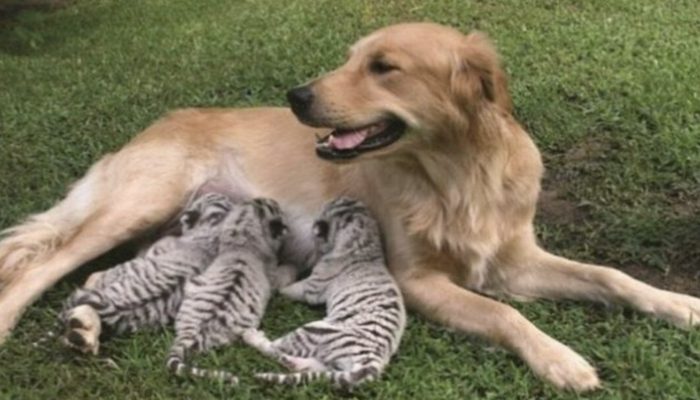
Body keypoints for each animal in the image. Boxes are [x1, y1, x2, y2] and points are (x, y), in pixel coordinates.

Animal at [165, 197, 295, 384]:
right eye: (275, 207)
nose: (273, 199)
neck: (242, 238)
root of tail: (189, 333)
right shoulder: (273, 275)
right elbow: (286, 272)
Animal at [243, 197, 406, 388]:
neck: (366, 244)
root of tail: (372, 361)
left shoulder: (312, 287)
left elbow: (290, 289)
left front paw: (280, 284)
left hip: (315, 330)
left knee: (275, 347)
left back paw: (251, 335)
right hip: (330, 363)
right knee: (308, 366)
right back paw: (292, 362)